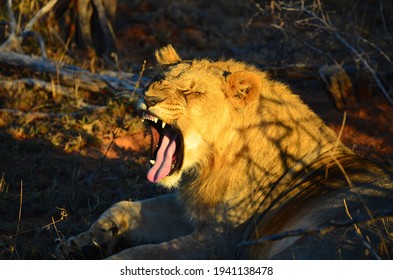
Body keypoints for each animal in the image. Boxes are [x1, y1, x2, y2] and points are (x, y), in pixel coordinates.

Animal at [58, 44, 392, 260]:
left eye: (191, 92)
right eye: (156, 81)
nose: (148, 97)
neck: (212, 164)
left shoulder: (222, 242)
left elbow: (140, 254)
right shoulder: (193, 211)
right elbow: (123, 206)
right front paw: (87, 240)